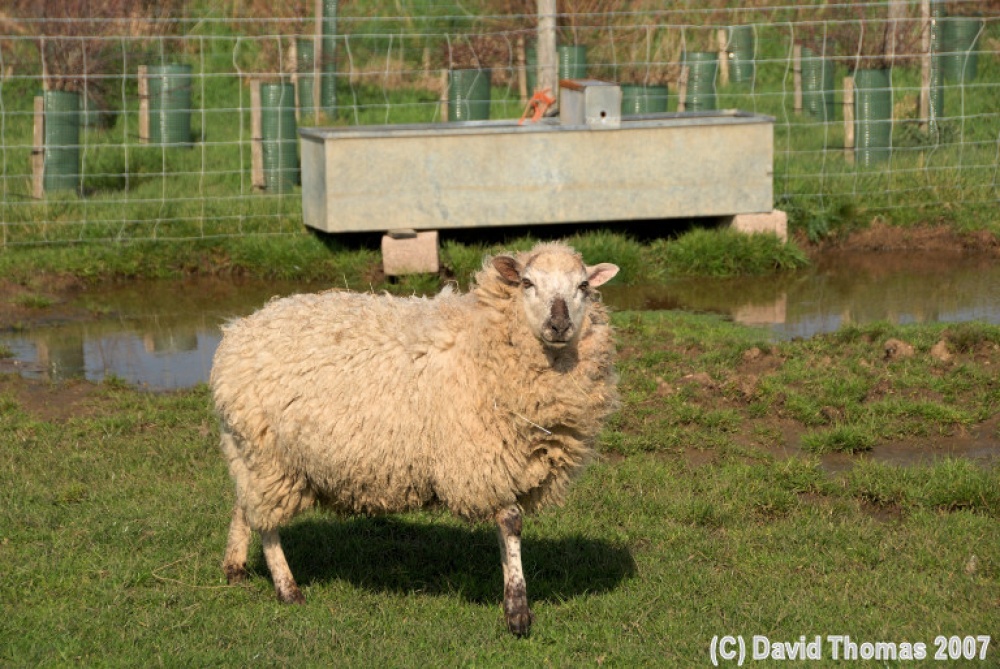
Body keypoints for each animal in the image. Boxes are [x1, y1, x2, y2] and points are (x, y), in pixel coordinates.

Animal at [210, 241, 619, 636]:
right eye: (527, 283)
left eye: (583, 286)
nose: (559, 324)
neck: (485, 339)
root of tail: (238, 329)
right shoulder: (482, 458)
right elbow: (511, 523)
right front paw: (517, 612)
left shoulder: (509, 462)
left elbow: (509, 531)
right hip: (268, 456)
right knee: (267, 524)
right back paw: (287, 589)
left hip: (249, 449)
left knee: (244, 504)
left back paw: (234, 566)